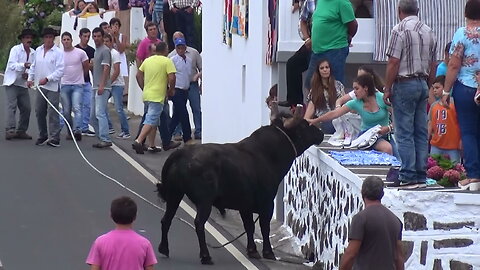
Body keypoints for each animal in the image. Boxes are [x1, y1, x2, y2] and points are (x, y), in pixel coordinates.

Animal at [156, 109, 324, 264]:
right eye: (304, 125)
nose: (321, 133)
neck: (269, 154)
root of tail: (182, 153)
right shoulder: (266, 204)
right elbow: (264, 227)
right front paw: (268, 253)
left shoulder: (245, 205)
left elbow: (249, 226)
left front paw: (252, 251)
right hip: (204, 202)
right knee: (198, 223)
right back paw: (205, 256)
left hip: (174, 194)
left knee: (166, 219)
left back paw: (164, 248)